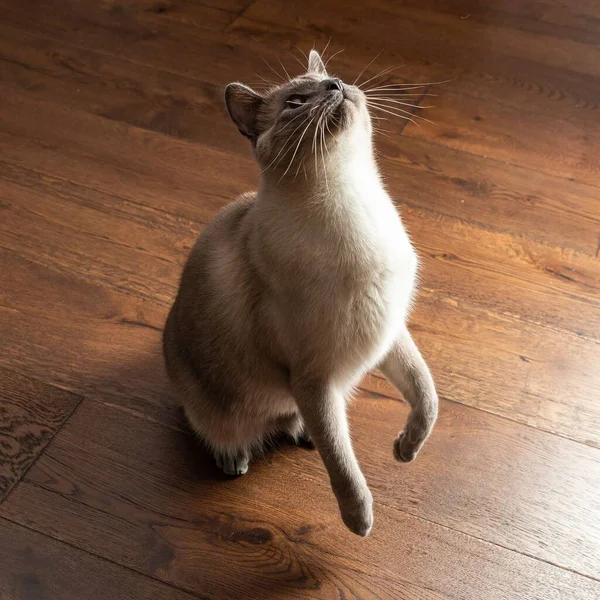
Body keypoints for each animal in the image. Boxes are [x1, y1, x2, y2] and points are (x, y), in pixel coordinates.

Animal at [162, 51, 438, 536]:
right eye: (295, 103)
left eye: (335, 80)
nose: (335, 85)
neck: (349, 195)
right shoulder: (314, 378)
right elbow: (342, 465)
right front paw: (360, 522)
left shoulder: (388, 332)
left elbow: (426, 395)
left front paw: (406, 450)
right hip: (224, 402)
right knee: (221, 430)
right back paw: (235, 459)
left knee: (300, 422)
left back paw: (300, 432)